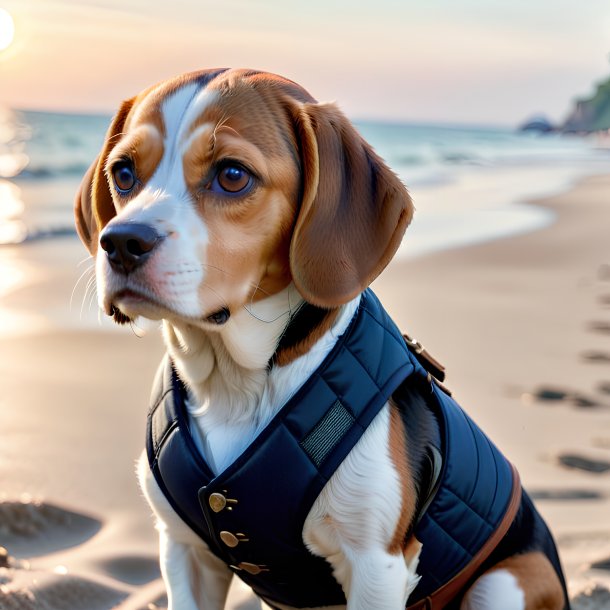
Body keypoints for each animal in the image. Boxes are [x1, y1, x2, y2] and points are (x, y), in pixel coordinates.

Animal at [73, 69, 568, 604]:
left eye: (232, 175)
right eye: (123, 173)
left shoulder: (376, 566)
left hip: (506, 581)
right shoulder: (184, 550)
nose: (121, 242)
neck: (236, 384)